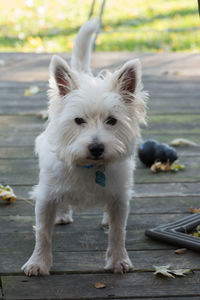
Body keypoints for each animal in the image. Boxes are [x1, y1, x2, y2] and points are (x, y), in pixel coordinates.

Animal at [21, 19, 148, 276]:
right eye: (78, 120)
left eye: (112, 120)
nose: (97, 147)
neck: (89, 165)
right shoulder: (45, 197)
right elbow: (43, 233)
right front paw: (38, 263)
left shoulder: (119, 197)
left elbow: (118, 232)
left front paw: (119, 260)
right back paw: (62, 214)